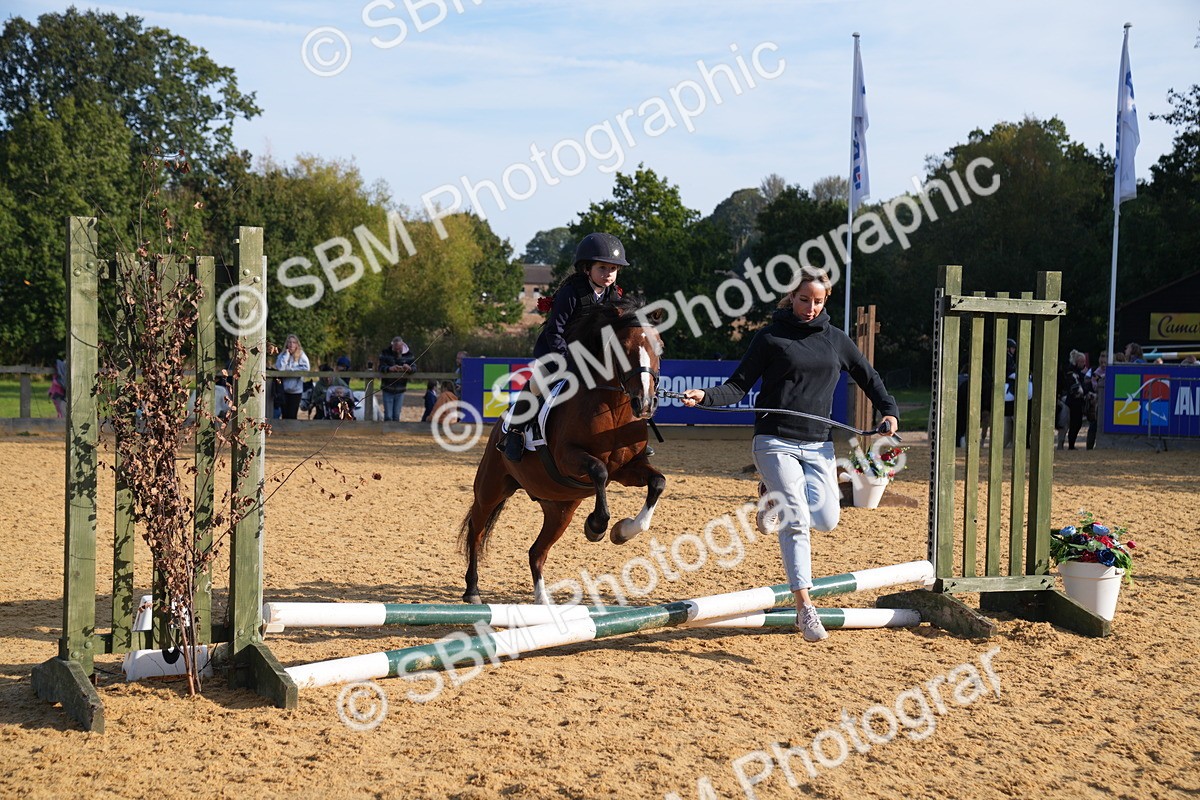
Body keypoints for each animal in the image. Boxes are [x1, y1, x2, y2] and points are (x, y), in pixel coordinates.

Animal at [460, 297, 666, 604]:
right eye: (623, 348)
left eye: (660, 348)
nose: (645, 404)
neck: (613, 409)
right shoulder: (569, 458)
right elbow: (598, 470)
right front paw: (596, 526)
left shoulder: (628, 468)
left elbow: (657, 482)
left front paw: (622, 531)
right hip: (491, 488)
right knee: (477, 530)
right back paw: (472, 589)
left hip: (559, 508)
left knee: (537, 551)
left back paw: (543, 600)